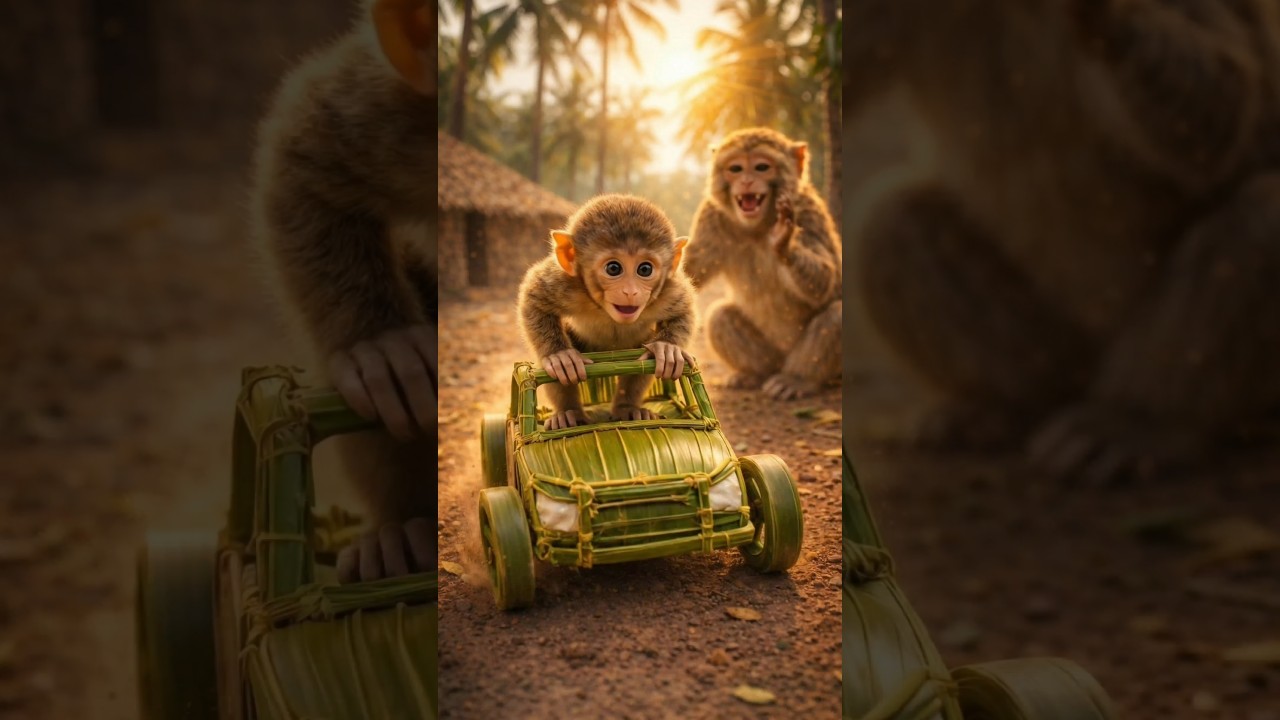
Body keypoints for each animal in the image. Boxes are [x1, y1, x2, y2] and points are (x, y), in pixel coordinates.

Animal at [517, 194, 698, 431]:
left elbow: (684, 308)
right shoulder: (567, 284)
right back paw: (568, 414)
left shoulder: (668, 288)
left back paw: (627, 409)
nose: (630, 291)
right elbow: (533, 299)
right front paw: (559, 355)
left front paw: (667, 348)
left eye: (645, 269)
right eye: (613, 268)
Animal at [683, 127, 843, 401]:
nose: (747, 181)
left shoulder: (807, 212)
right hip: (772, 358)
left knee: (837, 314)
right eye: (736, 168)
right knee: (719, 316)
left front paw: (782, 242)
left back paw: (796, 380)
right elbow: (690, 266)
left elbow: (828, 280)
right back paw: (753, 375)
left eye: (761, 167)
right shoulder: (711, 214)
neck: (758, 225)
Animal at [846, 0, 1280, 483]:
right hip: (1060, 353)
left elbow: (1229, 105)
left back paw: (1136, 422)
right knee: (893, 220)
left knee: (1264, 213)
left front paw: (1110, 22)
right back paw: (1006, 407)